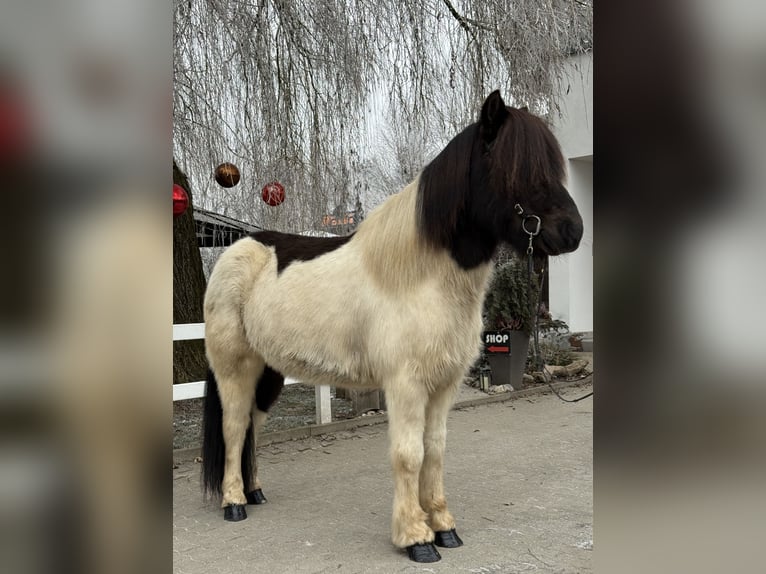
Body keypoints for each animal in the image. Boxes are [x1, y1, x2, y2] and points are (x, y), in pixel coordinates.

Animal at [200, 91, 583, 563]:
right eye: (515, 168)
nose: (572, 232)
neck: (420, 275)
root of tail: (234, 253)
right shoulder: (405, 384)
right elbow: (408, 454)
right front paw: (417, 539)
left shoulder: (443, 385)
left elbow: (434, 451)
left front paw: (444, 527)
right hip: (236, 368)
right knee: (234, 427)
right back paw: (234, 502)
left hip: (269, 372)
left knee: (254, 425)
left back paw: (255, 493)